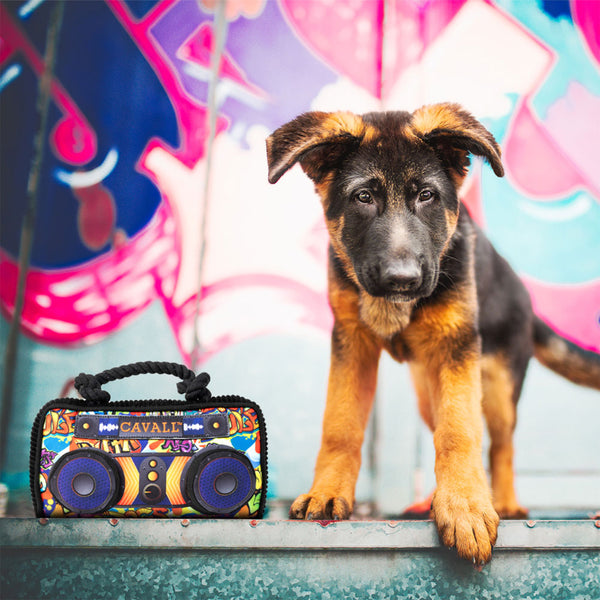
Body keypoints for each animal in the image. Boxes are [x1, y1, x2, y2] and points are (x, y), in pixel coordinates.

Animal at [268, 103, 600, 564]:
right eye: (363, 197)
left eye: (426, 195)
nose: (402, 279)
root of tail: (528, 303)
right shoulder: (351, 342)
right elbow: (341, 424)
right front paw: (328, 491)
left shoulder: (457, 346)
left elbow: (460, 431)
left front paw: (465, 506)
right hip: (427, 389)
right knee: (441, 425)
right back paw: (434, 500)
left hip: (497, 384)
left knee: (499, 444)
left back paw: (504, 501)